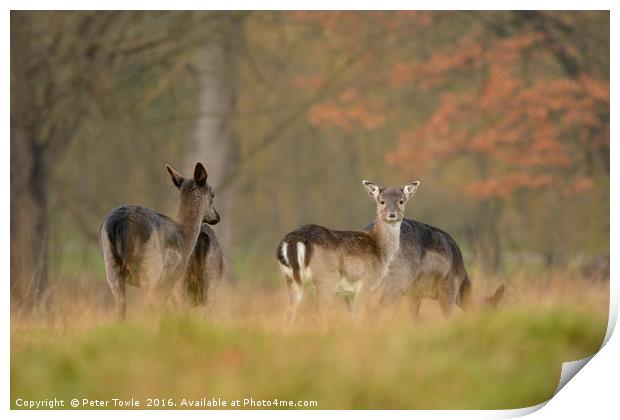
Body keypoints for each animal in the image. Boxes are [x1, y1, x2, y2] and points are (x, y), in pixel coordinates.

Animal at [100, 162, 220, 318]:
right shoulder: (172, 278)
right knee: (149, 305)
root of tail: (121, 223)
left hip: (111, 266)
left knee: (121, 306)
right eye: (212, 194)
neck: (186, 239)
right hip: (151, 268)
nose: (217, 217)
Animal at [278, 180, 418, 324]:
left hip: (290, 279)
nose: (392, 214)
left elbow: (353, 319)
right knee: (318, 313)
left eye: (401, 201)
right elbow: (361, 316)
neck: (380, 250)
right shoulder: (365, 283)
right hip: (326, 279)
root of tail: (293, 240)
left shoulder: (350, 293)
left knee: (288, 313)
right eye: (381, 201)